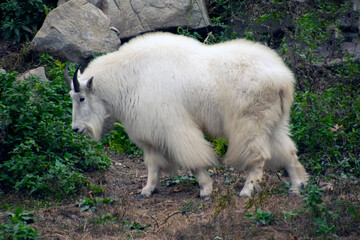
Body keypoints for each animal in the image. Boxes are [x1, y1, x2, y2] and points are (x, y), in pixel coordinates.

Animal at [64, 31, 306, 197]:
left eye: (81, 98)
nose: (76, 129)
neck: (132, 77)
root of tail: (283, 79)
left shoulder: (173, 126)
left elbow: (192, 159)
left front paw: (206, 189)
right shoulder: (150, 133)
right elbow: (152, 165)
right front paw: (147, 190)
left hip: (250, 123)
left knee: (258, 156)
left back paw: (247, 190)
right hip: (275, 122)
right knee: (288, 151)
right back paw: (298, 186)